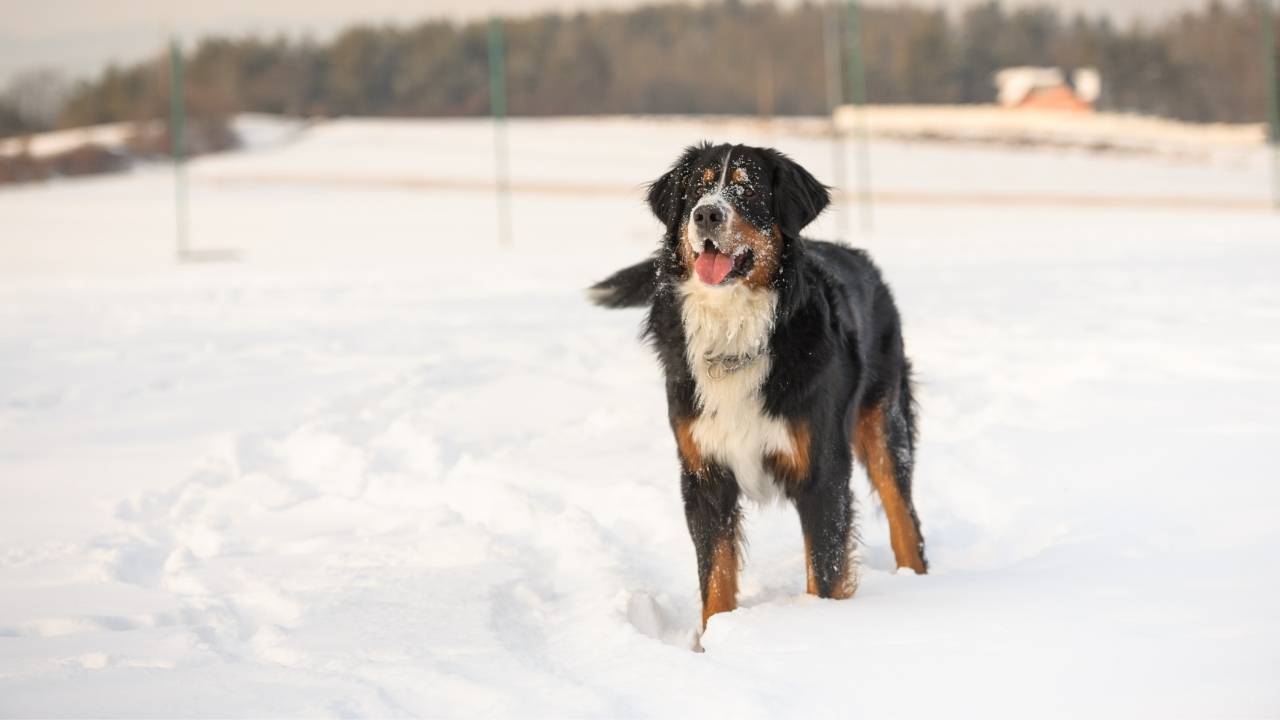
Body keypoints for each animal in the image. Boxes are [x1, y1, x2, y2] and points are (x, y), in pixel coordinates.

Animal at [588, 142, 931, 625]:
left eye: (747, 189)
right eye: (696, 189)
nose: (707, 214)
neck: (734, 333)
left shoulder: (822, 474)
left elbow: (824, 575)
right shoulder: (704, 475)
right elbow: (715, 580)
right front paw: (715, 638)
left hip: (885, 422)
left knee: (905, 520)